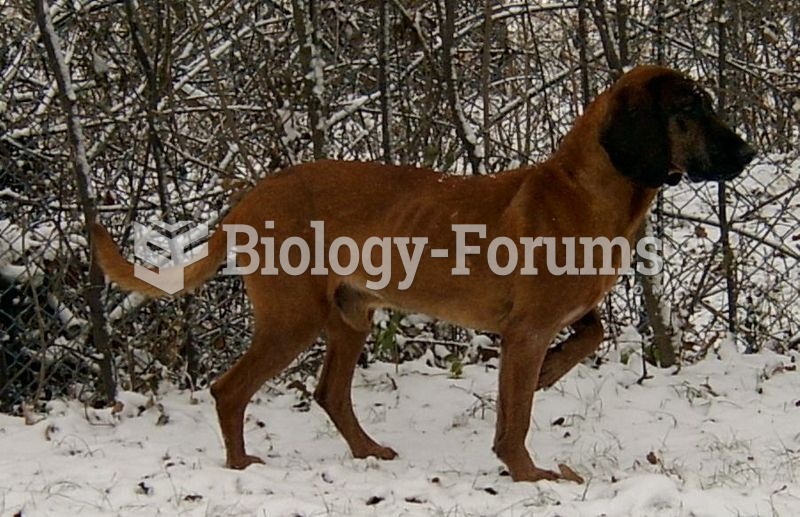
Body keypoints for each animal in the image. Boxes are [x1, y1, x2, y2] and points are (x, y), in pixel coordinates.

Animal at [94, 66, 756, 482]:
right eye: (689, 108)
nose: (748, 153)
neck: (586, 189)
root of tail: (244, 203)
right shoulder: (526, 330)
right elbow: (517, 416)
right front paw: (530, 474)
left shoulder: (553, 322)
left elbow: (588, 337)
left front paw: (548, 377)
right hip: (294, 319)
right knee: (230, 390)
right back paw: (241, 468)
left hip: (350, 316)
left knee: (330, 393)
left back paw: (367, 452)